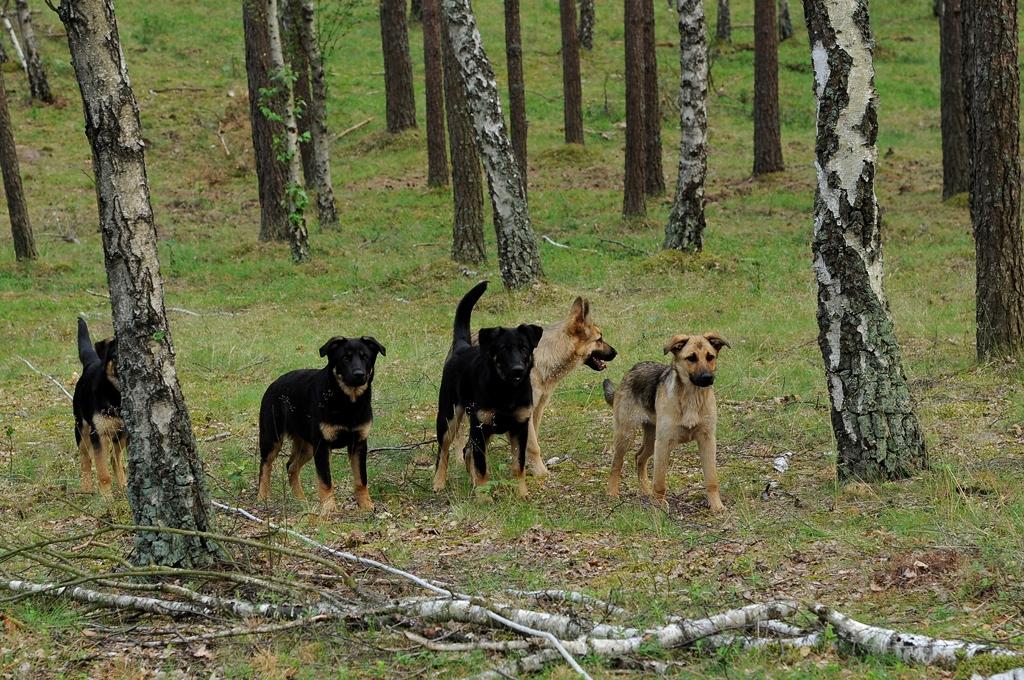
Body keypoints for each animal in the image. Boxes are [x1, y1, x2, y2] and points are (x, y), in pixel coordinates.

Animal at [72, 315, 125, 497]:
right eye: (115, 356)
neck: (116, 397)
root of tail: (91, 362)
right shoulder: (98, 435)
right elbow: (103, 473)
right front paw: (106, 498)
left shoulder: (125, 433)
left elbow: (116, 462)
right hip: (81, 429)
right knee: (86, 460)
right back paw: (86, 489)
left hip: (118, 436)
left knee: (115, 459)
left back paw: (123, 485)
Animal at [256, 333, 385, 510]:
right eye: (345, 358)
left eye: (365, 357)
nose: (359, 374)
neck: (347, 403)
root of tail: (273, 384)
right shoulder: (323, 445)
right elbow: (325, 480)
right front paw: (329, 508)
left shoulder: (358, 443)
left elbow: (361, 479)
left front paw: (366, 505)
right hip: (272, 438)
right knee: (265, 466)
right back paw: (261, 498)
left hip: (307, 445)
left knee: (291, 466)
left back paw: (300, 499)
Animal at [432, 280, 544, 499]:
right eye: (502, 349)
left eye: (524, 348)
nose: (518, 369)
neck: (506, 391)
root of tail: (462, 347)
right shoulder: (481, 428)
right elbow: (482, 466)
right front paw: (484, 497)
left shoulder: (520, 428)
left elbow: (518, 465)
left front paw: (521, 493)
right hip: (449, 418)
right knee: (444, 451)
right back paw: (439, 483)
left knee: (467, 451)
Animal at [602, 331, 733, 512]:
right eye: (691, 358)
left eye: (710, 357)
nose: (707, 378)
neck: (692, 397)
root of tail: (632, 370)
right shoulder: (664, 443)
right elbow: (660, 482)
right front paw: (659, 506)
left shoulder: (707, 440)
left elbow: (711, 479)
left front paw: (716, 506)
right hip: (627, 435)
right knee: (617, 463)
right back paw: (612, 493)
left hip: (651, 438)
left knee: (639, 457)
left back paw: (646, 491)